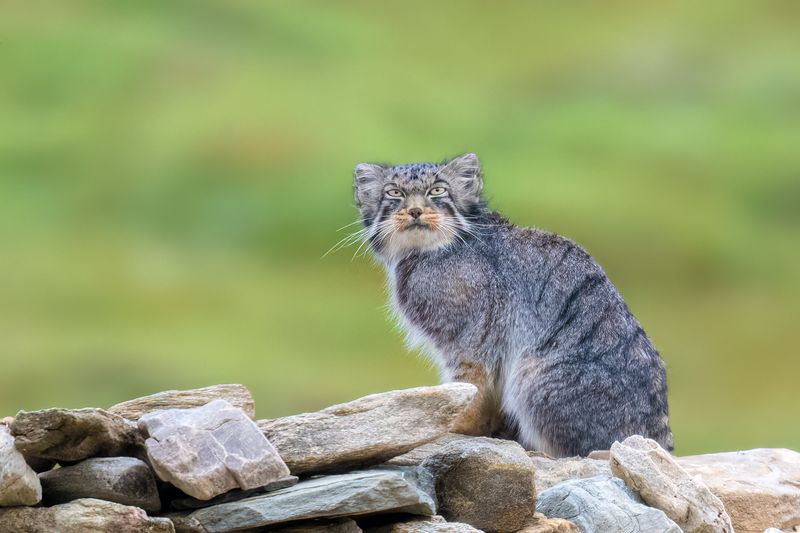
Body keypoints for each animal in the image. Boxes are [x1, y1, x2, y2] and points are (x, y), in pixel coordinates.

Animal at [354, 152, 672, 456]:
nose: (415, 211)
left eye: (438, 190)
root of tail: (658, 432)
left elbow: (470, 386)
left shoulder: (471, 339)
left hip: (531, 377)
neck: (436, 249)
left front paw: (456, 426)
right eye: (394, 193)